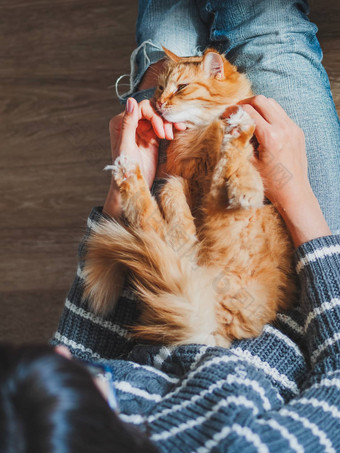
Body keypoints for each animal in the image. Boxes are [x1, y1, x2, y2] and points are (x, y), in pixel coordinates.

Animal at [83, 48, 296, 346]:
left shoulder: (245, 161)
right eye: (161, 87)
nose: (159, 102)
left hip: (223, 217)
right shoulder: (185, 181)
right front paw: (183, 229)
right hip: (205, 224)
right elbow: (170, 190)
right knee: (152, 224)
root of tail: (217, 331)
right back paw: (129, 174)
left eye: (182, 87)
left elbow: (242, 165)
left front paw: (246, 188)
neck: (201, 133)